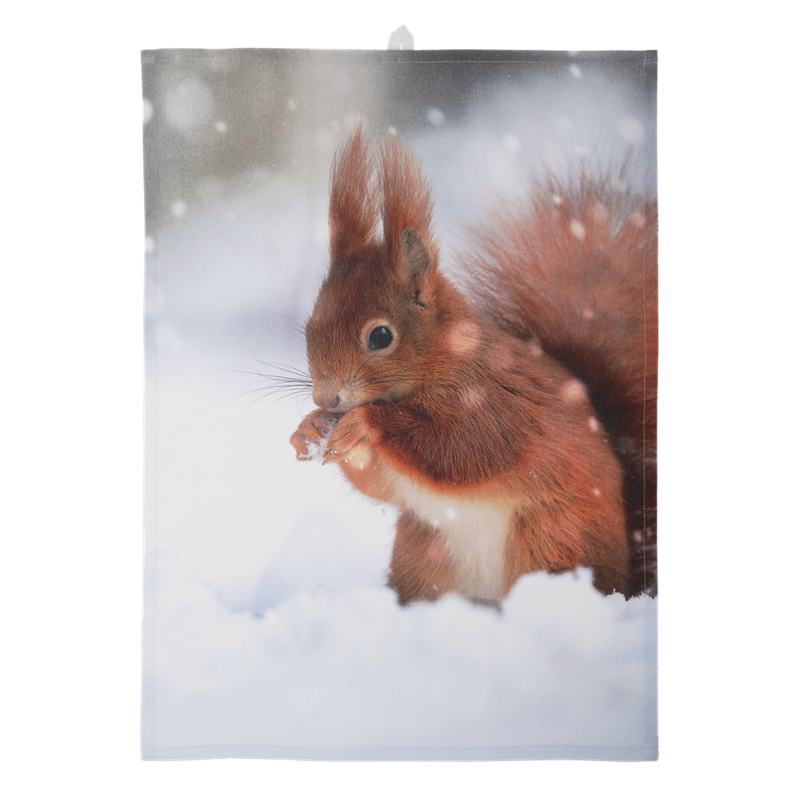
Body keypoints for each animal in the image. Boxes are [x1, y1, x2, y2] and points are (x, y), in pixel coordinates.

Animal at [289, 127, 658, 604]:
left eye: (381, 336)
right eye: (310, 324)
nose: (326, 397)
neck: (441, 359)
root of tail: (625, 577)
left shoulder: (496, 402)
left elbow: (462, 449)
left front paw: (367, 423)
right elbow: (382, 486)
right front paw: (309, 429)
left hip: (551, 538)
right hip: (422, 553)